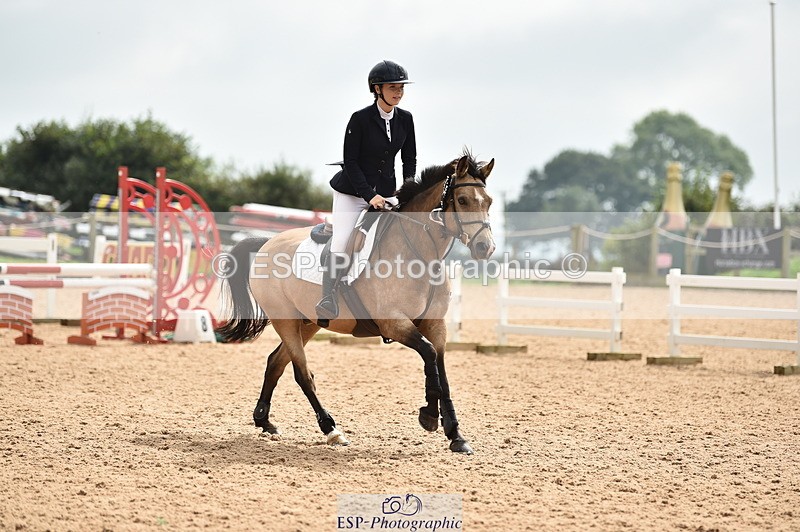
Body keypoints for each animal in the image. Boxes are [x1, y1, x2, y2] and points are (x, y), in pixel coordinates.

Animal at [215, 151, 495, 454]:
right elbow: (429, 354)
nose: (486, 248)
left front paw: (456, 435)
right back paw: (331, 429)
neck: (420, 255)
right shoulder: (394, 323)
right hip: (285, 321)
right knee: (302, 373)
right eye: (463, 200)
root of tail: (267, 243)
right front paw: (430, 416)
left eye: (489, 202)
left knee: (276, 362)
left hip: (309, 323)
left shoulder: (436, 325)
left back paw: (264, 421)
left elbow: (441, 371)